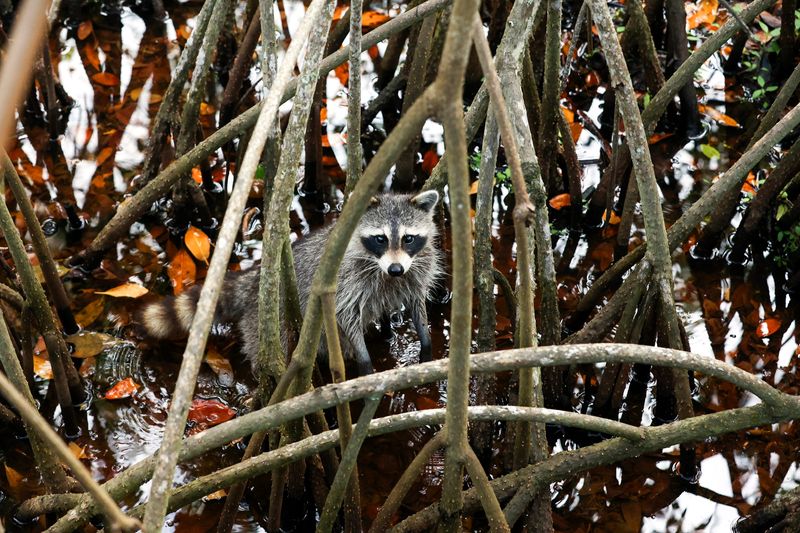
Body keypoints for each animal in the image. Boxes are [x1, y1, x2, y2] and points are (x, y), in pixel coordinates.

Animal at [139, 190, 443, 376]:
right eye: (380, 238)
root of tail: (255, 283)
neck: (382, 268)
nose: (395, 269)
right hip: (269, 326)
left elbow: (416, 302)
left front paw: (426, 341)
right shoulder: (347, 281)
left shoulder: (416, 270)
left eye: (408, 238)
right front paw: (364, 359)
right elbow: (345, 316)